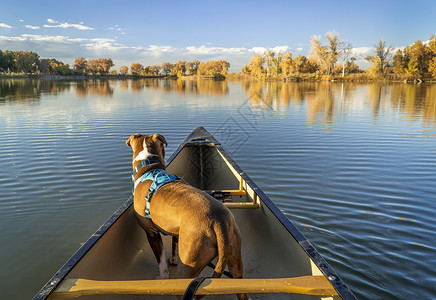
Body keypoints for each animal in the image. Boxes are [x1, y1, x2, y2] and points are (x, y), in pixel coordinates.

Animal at [127, 134, 247, 300]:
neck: (148, 167)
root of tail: (218, 221)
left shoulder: (151, 232)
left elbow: (161, 261)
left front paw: (162, 278)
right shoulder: (175, 228)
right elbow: (174, 245)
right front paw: (173, 259)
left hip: (188, 266)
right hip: (235, 260)